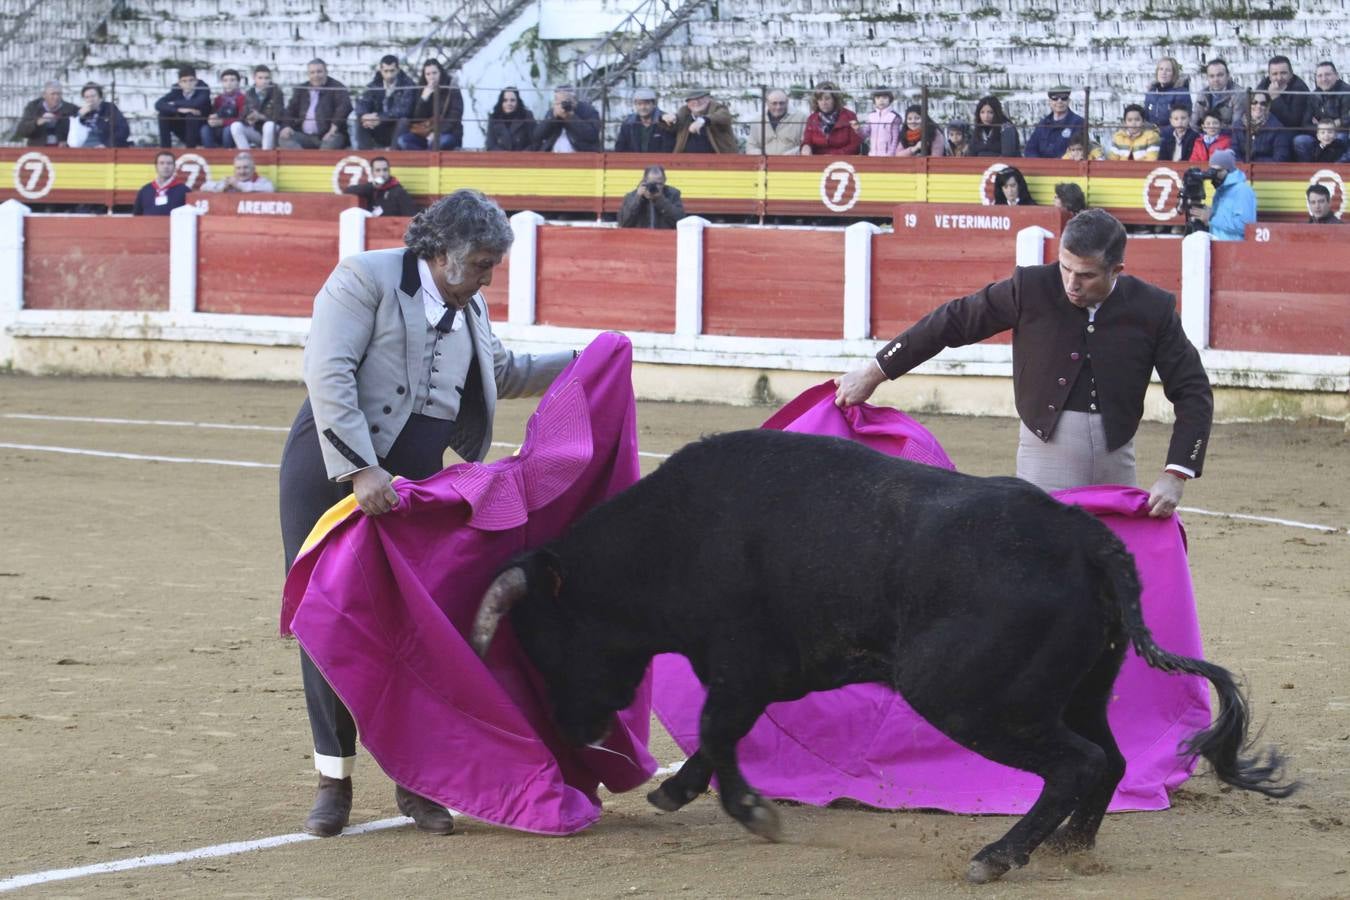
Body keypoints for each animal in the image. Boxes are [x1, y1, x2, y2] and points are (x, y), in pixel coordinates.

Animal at [469, 431, 1290, 885]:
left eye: (545, 642)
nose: (573, 732)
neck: (672, 535)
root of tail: (1089, 540)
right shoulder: (760, 673)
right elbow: (721, 734)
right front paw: (680, 792)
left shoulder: (736, 664)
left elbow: (717, 729)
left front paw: (752, 813)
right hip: (1080, 686)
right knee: (1110, 759)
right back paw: (1070, 850)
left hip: (964, 696)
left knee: (1077, 763)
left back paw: (999, 856)